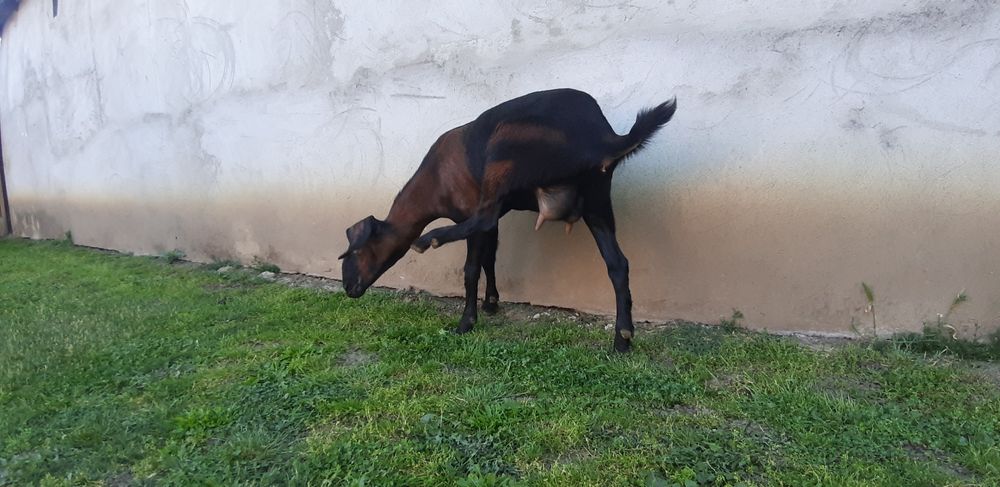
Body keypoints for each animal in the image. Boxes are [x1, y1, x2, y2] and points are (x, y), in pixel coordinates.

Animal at [339, 88, 676, 352]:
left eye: (356, 251)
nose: (348, 288)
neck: (436, 177)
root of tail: (601, 137)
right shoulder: (499, 218)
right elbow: (490, 258)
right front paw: (491, 303)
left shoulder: (473, 210)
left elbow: (473, 266)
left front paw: (467, 321)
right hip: (597, 200)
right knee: (618, 264)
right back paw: (623, 338)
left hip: (504, 151)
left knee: (482, 219)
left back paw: (429, 238)